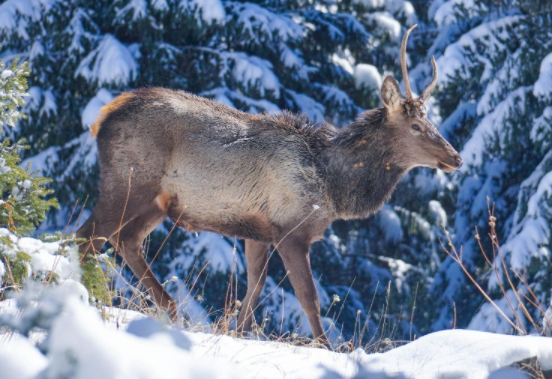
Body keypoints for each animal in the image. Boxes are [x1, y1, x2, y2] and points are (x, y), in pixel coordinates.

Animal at [76, 25, 462, 348]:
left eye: (431, 121)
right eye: (416, 126)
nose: (455, 157)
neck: (334, 185)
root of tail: (102, 117)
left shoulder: (256, 232)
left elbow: (252, 292)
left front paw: (236, 335)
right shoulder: (291, 231)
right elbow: (309, 299)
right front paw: (329, 349)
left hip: (157, 202)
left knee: (125, 240)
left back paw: (170, 310)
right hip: (128, 181)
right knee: (87, 236)